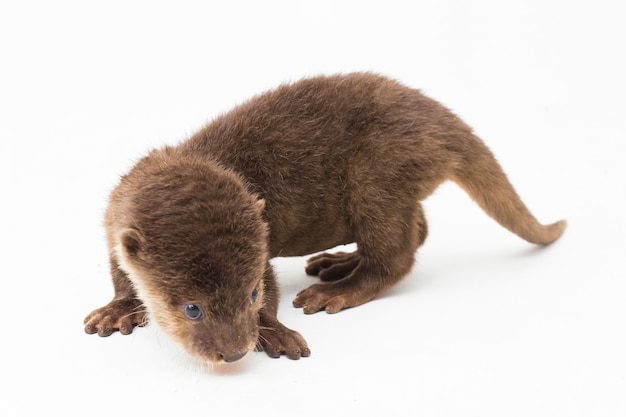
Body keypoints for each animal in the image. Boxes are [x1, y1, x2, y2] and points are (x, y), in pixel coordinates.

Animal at [83, 72, 564, 364]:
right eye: (192, 308)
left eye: (251, 294)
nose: (235, 353)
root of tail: (442, 124)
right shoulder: (112, 223)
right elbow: (120, 274)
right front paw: (117, 309)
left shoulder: (260, 249)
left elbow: (274, 291)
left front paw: (276, 332)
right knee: (420, 231)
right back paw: (337, 263)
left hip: (378, 177)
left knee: (397, 256)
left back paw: (337, 289)